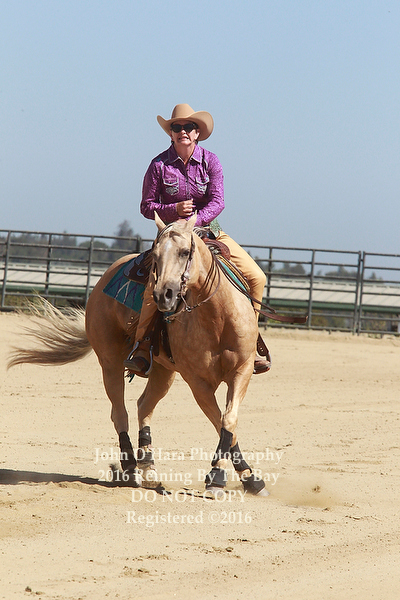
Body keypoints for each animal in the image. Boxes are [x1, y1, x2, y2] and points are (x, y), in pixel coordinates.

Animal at [8, 213, 269, 497]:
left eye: (185, 252)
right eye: (156, 255)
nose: (163, 295)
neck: (217, 317)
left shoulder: (242, 371)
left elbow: (228, 420)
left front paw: (248, 478)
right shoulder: (197, 383)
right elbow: (220, 419)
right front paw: (218, 477)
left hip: (164, 370)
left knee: (144, 405)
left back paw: (149, 468)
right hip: (110, 362)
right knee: (119, 412)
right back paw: (131, 467)